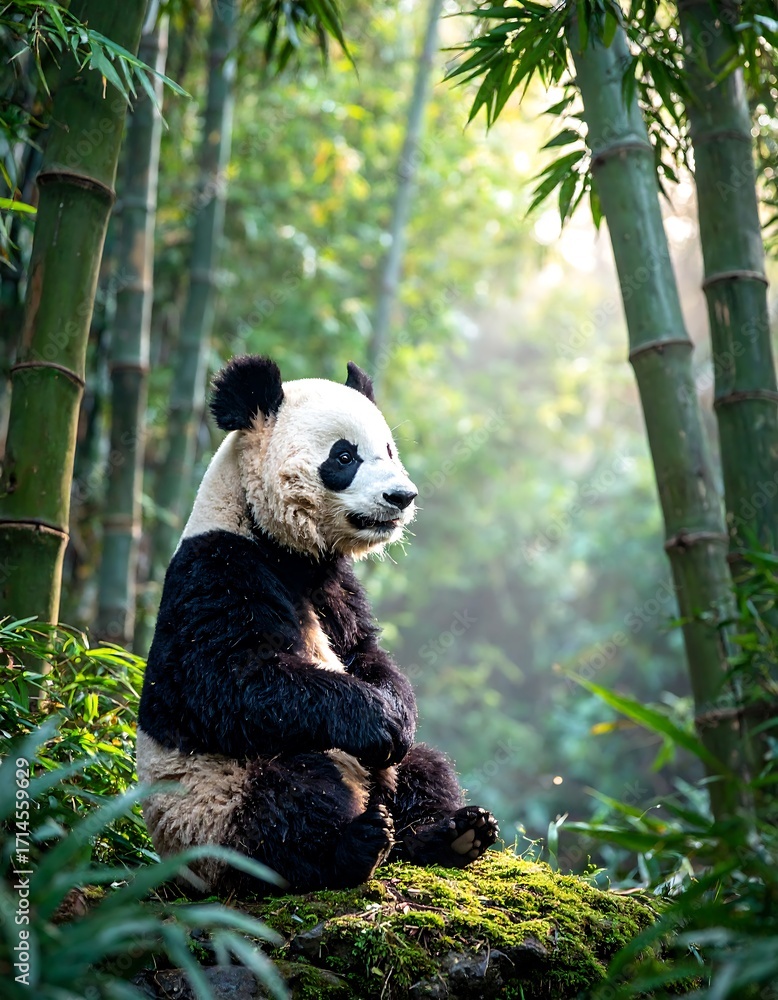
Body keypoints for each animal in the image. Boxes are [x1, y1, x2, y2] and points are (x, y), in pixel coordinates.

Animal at [137, 355, 499, 894]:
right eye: (344, 456)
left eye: (388, 450)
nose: (402, 496)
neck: (276, 542)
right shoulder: (216, 569)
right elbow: (229, 678)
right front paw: (378, 720)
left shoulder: (335, 586)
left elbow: (365, 653)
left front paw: (398, 714)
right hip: (212, 808)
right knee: (289, 795)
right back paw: (352, 847)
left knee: (423, 767)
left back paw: (451, 834)